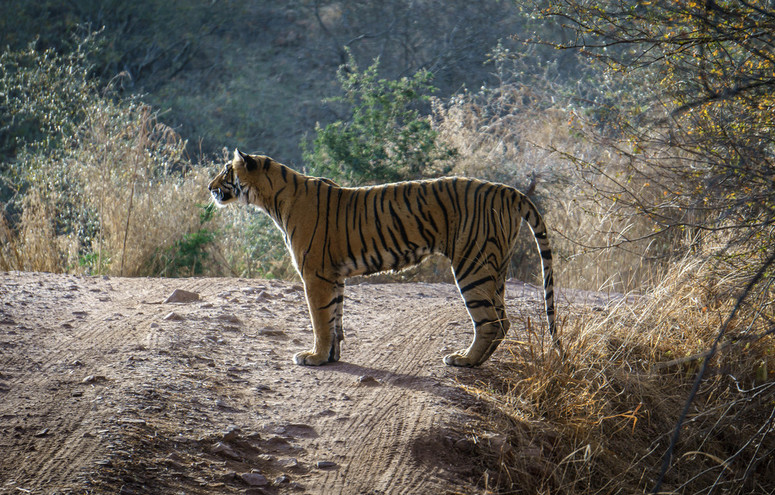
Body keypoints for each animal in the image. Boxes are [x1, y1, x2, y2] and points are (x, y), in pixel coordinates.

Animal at [206, 149, 556, 366]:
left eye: (225, 171)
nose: (209, 187)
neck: (272, 199)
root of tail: (505, 189)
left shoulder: (316, 275)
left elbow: (320, 320)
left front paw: (314, 357)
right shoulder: (333, 277)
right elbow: (335, 319)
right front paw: (330, 357)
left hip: (473, 265)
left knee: (490, 321)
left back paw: (464, 360)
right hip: (496, 267)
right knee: (503, 320)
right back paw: (475, 361)